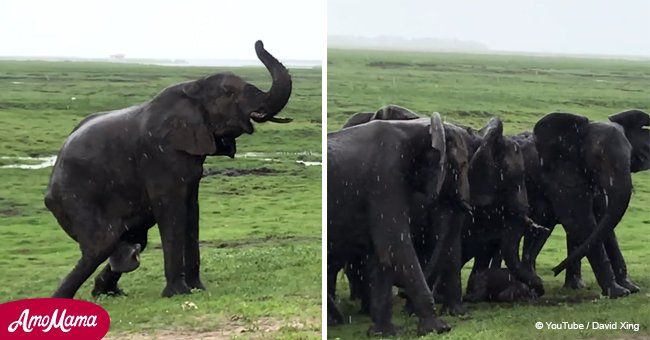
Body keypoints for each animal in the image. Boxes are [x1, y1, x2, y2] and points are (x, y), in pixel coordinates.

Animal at [43, 41, 292, 298]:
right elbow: (172, 210)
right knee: (101, 244)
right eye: (229, 93)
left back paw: (113, 282)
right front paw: (178, 293)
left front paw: (198, 288)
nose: (259, 42)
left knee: (133, 238)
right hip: (75, 197)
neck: (194, 87)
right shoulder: (159, 156)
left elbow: (191, 210)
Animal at [326, 113, 448, 336]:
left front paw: (384, 333)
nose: (401, 293)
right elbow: (394, 246)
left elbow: (382, 253)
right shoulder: (385, 177)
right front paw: (438, 329)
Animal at [512, 109, 644, 298]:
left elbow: (603, 223)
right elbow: (581, 222)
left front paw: (630, 288)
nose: (554, 270)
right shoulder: (559, 175)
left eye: (631, 154)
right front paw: (618, 292)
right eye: (599, 157)